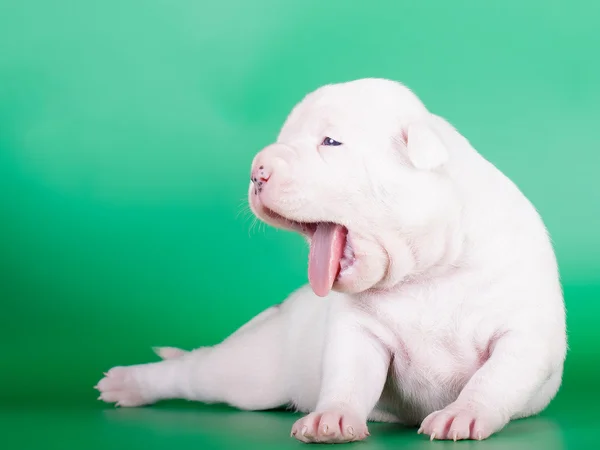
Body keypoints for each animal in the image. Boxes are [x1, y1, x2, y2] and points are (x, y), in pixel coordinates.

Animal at [97, 78, 568, 442]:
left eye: (331, 141)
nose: (257, 170)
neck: (423, 274)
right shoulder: (359, 332)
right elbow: (349, 374)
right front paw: (334, 418)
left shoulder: (523, 334)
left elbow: (494, 376)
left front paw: (463, 413)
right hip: (253, 373)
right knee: (194, 372)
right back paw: (129, 383)